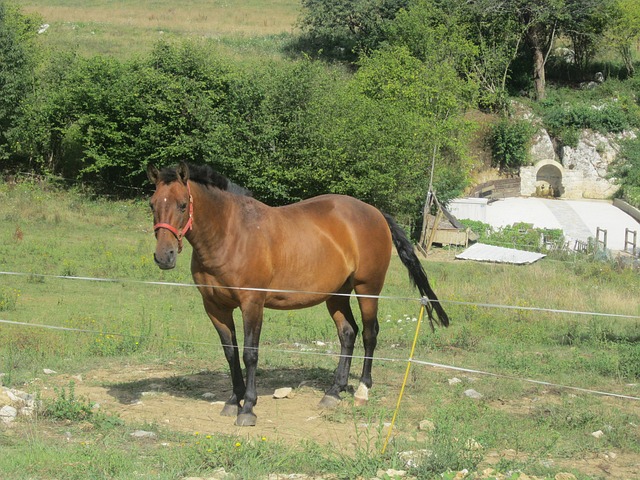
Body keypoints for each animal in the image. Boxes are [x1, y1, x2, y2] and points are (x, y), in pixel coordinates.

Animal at [147, 163, 448, 426]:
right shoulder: (214, 307)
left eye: (182, 204)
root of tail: (374, 212)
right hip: (336, 294)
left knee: (369, 334)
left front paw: (248, 408)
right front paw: (233, 400)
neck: (231, 234)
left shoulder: (252, 303)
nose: (164, 256)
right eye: (152, 204)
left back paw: (362, 390)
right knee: (348, 334)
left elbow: (250, 354)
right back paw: (333, 392)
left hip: (368, 289)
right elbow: (230, 353)